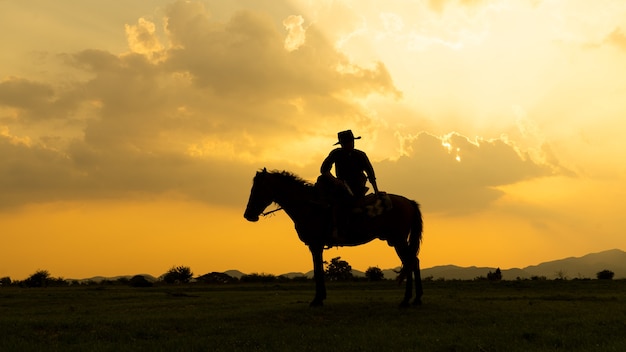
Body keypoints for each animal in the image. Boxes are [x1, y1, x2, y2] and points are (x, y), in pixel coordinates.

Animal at [241, 169, 422, 306]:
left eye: (257, 189)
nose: (248, 215)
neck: (310, 206)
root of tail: (408, 202)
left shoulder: (315, 244)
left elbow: (318, 271)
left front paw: (317, 300)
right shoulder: (315, 245)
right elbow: (318, 269)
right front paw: (320, 298)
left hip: (398, 240)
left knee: (410, 262)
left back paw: (406, 300)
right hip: (397, 241)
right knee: (413, 262)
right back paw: (415, 300)